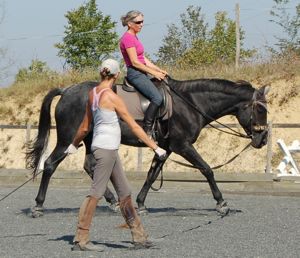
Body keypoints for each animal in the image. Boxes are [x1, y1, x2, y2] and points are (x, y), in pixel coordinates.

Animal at [25, 75, 270, 217]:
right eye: (260, 109)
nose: (263, 139)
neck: (190, 102)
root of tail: (66, 91)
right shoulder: (182, 145)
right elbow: (206, 169)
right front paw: (221, 203)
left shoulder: (166, 148)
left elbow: (152, 174)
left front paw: (141, 203)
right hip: (67, 139)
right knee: (49, 164)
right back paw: (38, 205)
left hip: (89, 139)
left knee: (89, 166)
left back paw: (113, 201)